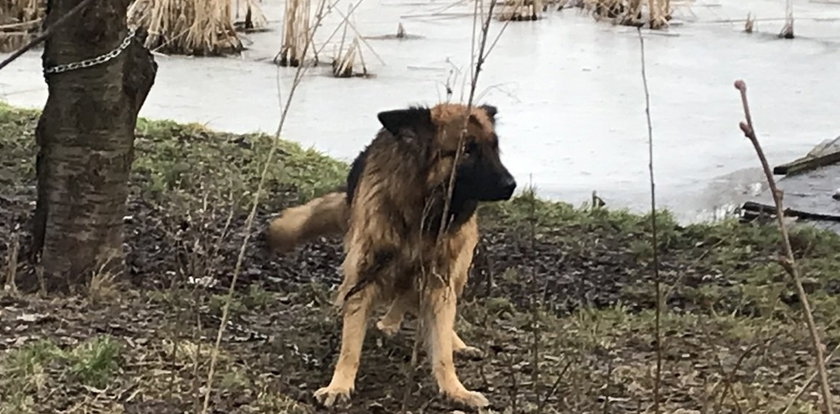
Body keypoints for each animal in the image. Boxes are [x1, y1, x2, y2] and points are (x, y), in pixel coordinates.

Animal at [270, 101, 516, 408]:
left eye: (494, 147)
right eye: (467, 150)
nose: (511, 185)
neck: (420, 211)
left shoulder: (439, 280)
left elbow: (442, 348)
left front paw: (455, 390)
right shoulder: (362, 277)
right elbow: (350, 347)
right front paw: (339, 386)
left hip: (457, 269)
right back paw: (389, 323)